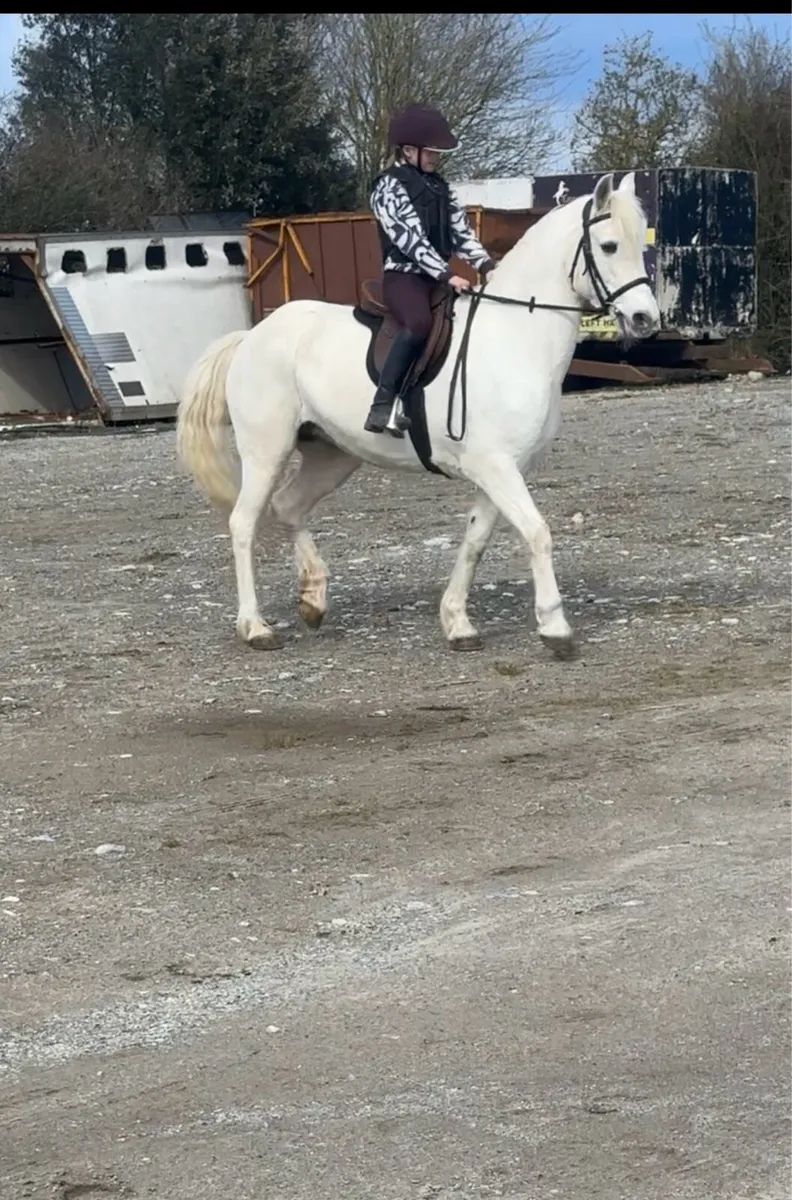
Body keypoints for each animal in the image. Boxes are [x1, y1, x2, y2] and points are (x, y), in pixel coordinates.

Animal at [176, 171, 659, 656]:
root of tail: (251, 335)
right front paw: (555, 627)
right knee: (244, 523)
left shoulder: (503, 470)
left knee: (289, 506)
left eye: (643, 244)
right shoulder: (496, 467)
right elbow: (537, 532)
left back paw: (313, 599)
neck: (516, 337)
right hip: (266, 452)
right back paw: (255, 626)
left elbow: (475, 541)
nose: (645, 319)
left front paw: (458, 622)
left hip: (332, 454)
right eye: (609, 246)